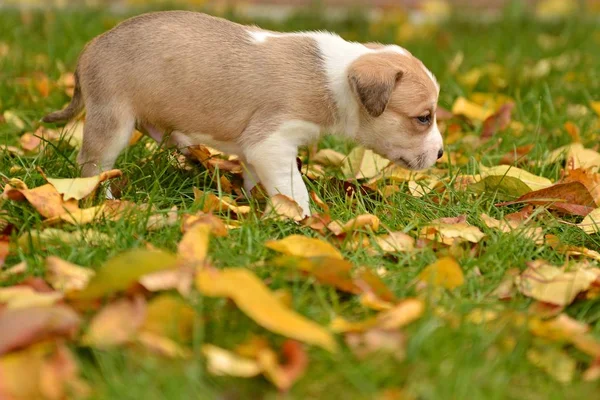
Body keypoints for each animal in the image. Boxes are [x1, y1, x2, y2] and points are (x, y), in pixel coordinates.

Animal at [43, 10, 440, 216]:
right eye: (423, 117)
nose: (440, 155)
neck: (334, 76)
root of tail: (92, 45)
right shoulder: (272, 142)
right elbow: (294, 189)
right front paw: (302, 222)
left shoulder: (257, 150)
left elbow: (255, 177)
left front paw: (250, 202)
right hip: (112, 122)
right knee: (91, 165)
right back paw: (105, 201)